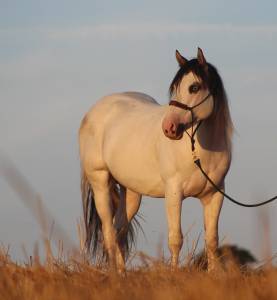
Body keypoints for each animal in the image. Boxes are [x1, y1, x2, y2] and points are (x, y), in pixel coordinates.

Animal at [78, 47, 232, 272]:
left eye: (194, 87)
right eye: (175, 88)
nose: (169, 128)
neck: (201, 153)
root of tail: (93, 111)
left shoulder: (215, 194)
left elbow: (212, 239)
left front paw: (214, 274)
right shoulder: (174, 193)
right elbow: (175, 239)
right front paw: (174, 274)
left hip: (131, 191)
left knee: (119, 230)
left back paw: (122, 273)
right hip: (100, 183)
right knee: (108, 232)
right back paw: (114, 273)